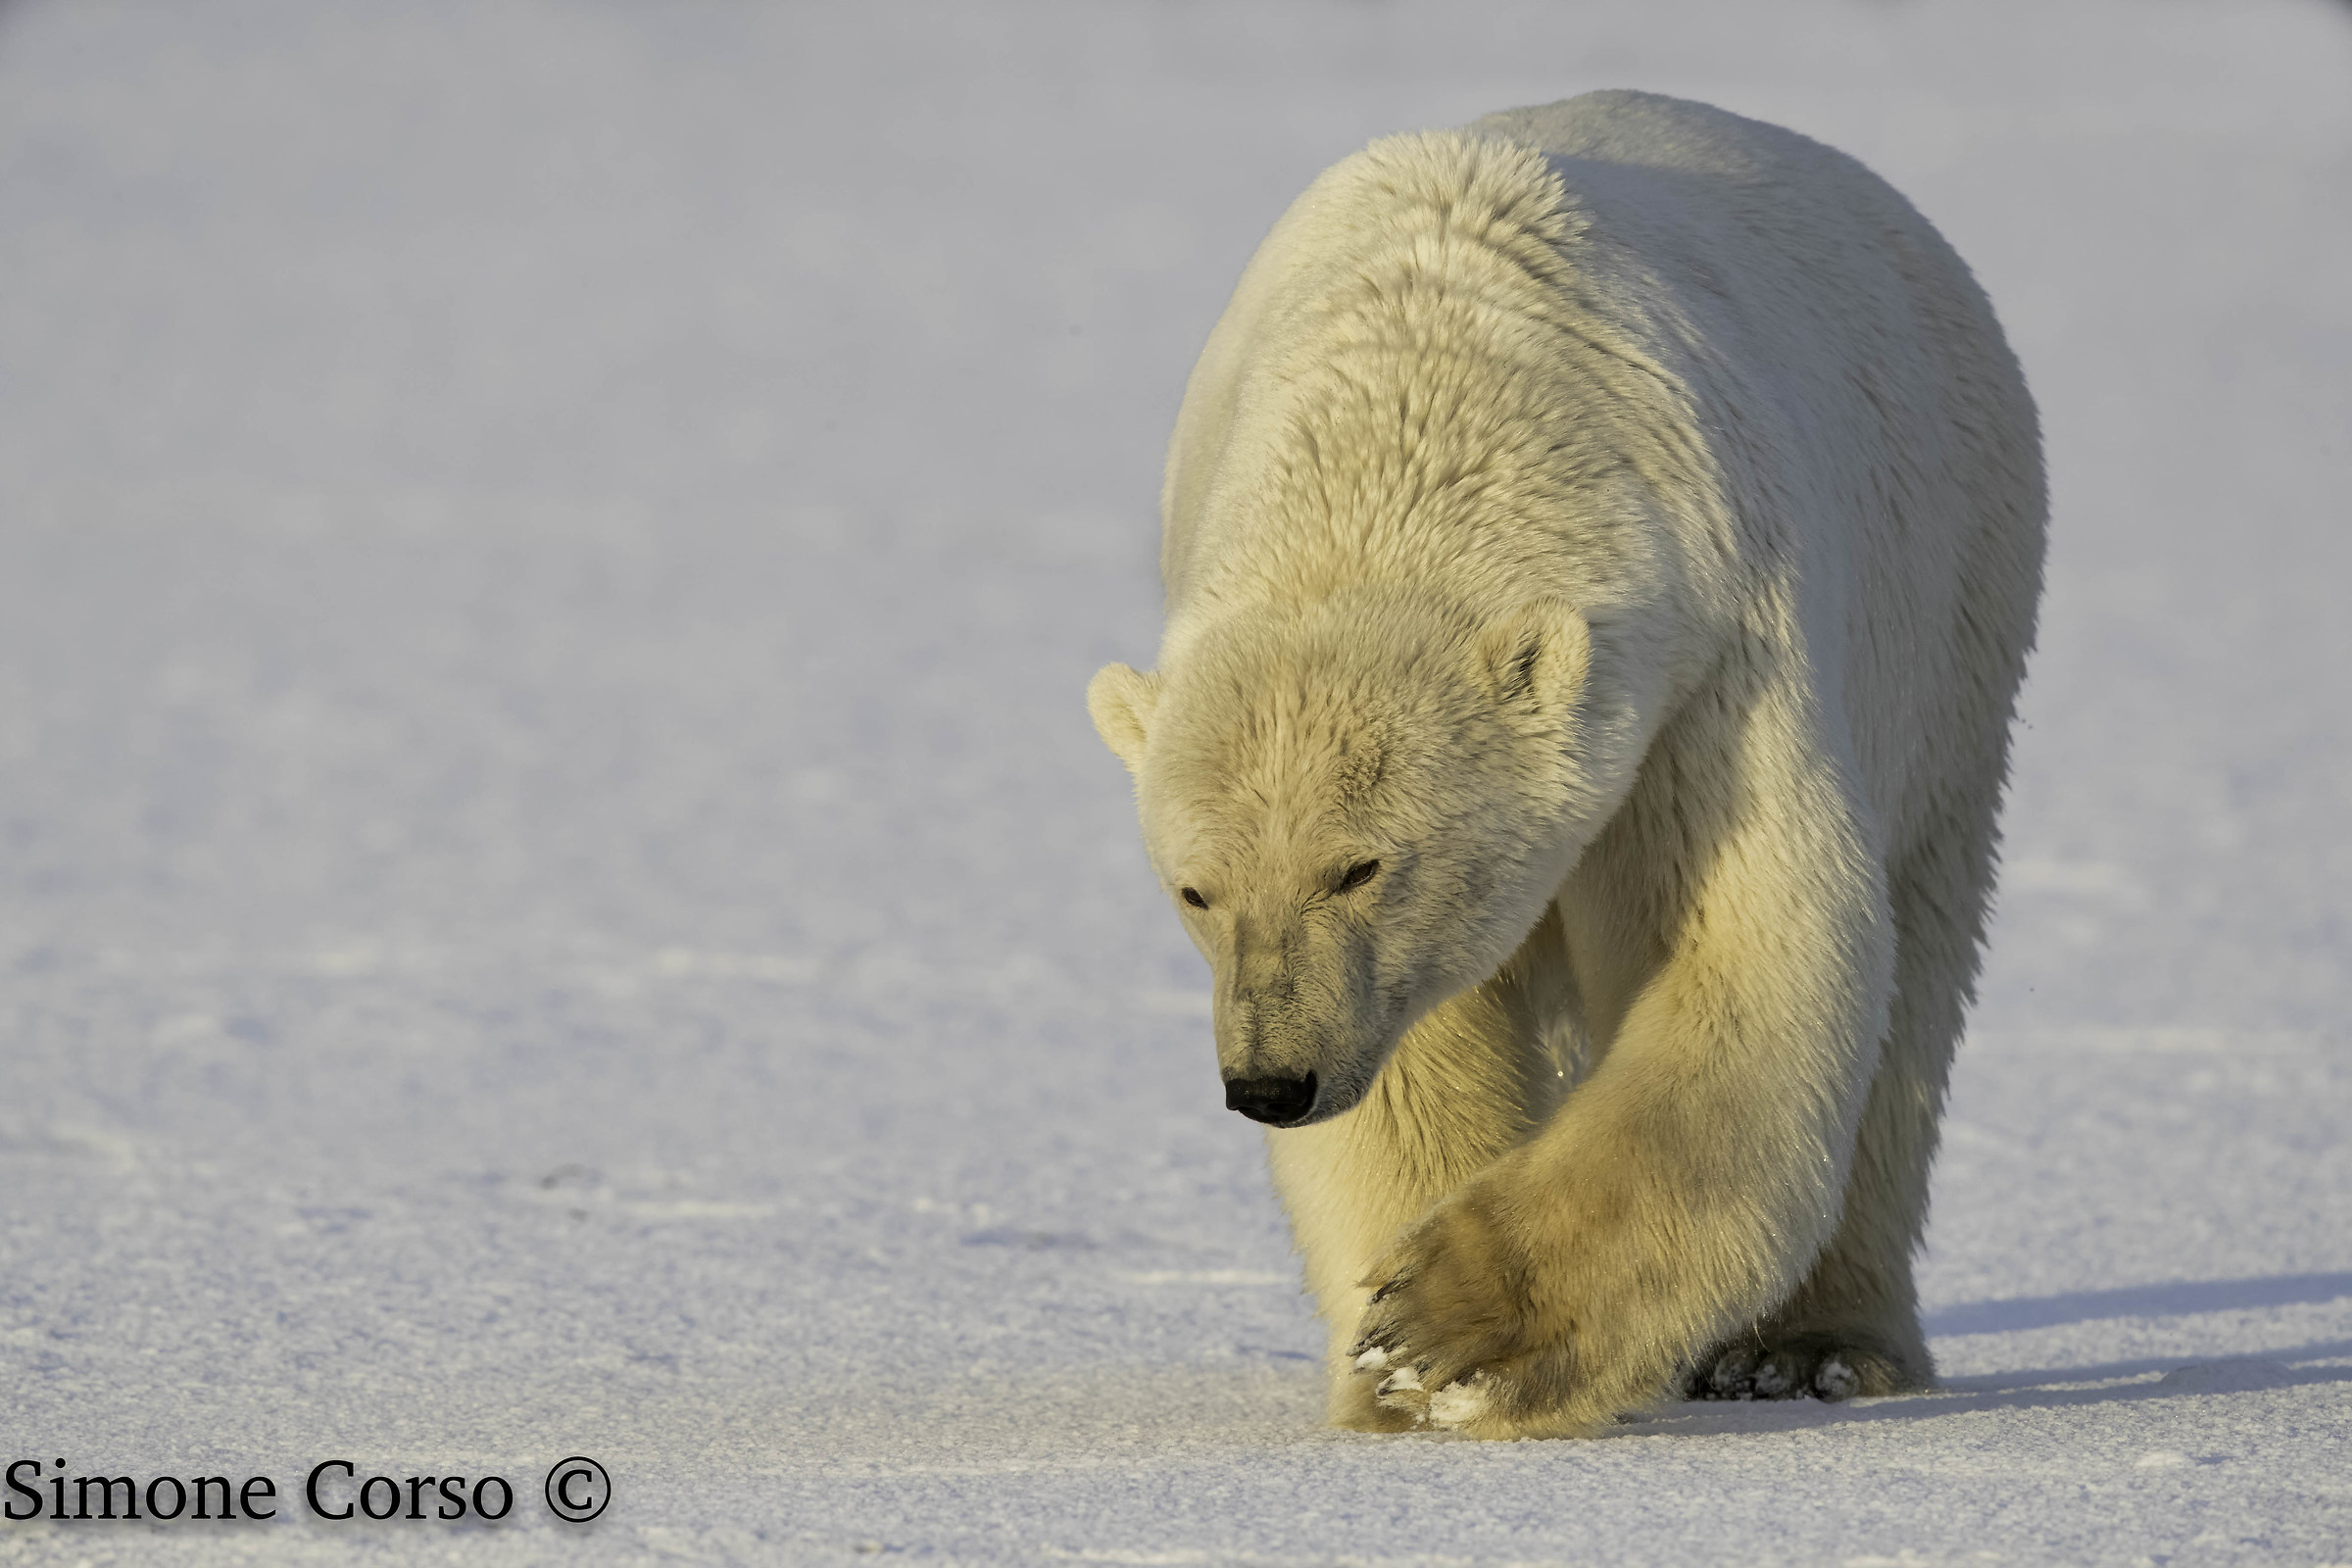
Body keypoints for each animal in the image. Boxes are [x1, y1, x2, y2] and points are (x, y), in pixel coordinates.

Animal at [1087, 91, 2045, 1438]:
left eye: (1359, 865)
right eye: (1195, 889)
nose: (1271, 1079)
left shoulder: (1709, 662)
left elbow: (1737, 957)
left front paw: (1451, 1332)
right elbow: (1416, 1050)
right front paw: (1394, 1370)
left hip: (1951, 617)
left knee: (1912, 984)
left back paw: (1809, 1347)